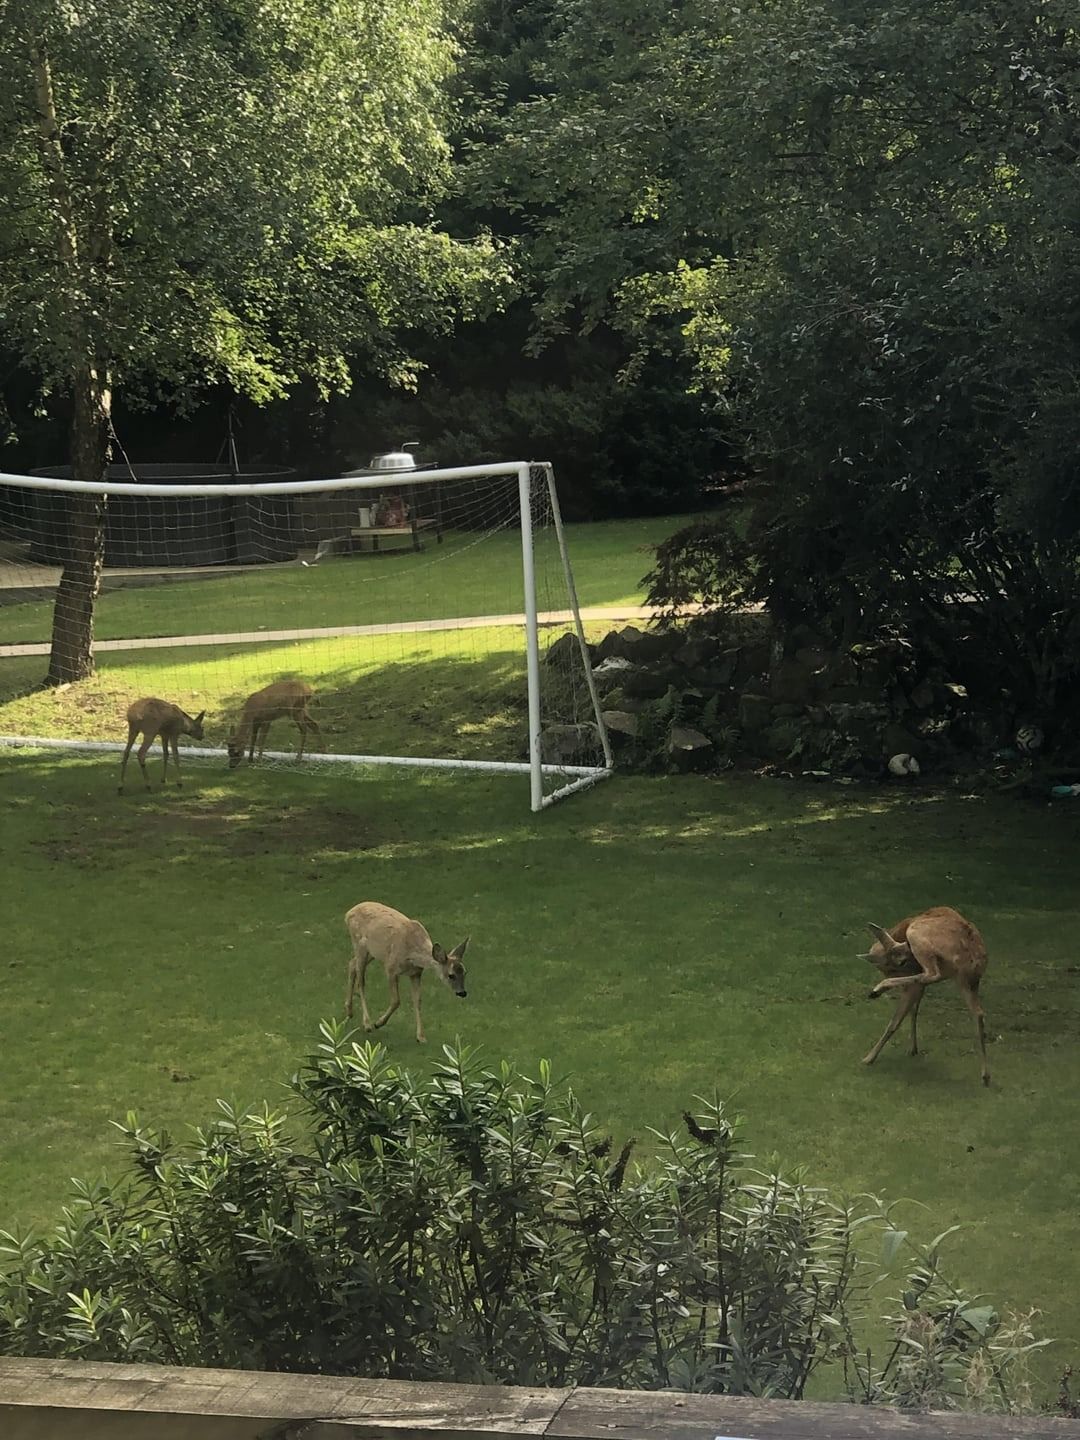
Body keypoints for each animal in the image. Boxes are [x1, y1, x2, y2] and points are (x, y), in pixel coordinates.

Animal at [342, 904, 469, 1042]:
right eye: (451, 975)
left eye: (465, 972)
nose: (462, 993)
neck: (412, 954)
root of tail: (348, 913)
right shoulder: (391, 968)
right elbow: (396, 1000)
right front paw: (379, 1023)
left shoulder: (416, 973)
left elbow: (418, 1001)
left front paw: (421, 1037)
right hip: (360, 945)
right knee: (361, 982)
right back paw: (367, 1024)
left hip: (372, 952)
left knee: (352, 964)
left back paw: (349, 1011)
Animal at [858, 904, 996, 1082]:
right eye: (890, 968)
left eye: (897, 965)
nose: (908, 965)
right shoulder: (919, 984)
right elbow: (912, 1009)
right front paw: (913, 1049)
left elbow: (899, 1016)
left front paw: (868, 1058)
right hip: (967, 982)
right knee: (978, 1012)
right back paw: (985, 1076)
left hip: (919, 936)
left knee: (932, 973)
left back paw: (878, 989)